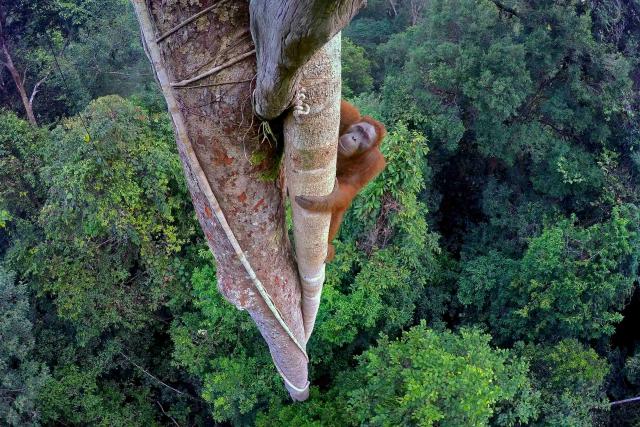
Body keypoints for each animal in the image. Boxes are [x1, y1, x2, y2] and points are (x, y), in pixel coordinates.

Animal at [296, 100, 387, 262]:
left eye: (365, 137)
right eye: (358, 129)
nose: (354, 138)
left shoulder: (373, 162)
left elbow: (349, 187)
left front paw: (322, 200)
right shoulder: (349, 115)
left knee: (338, 207)